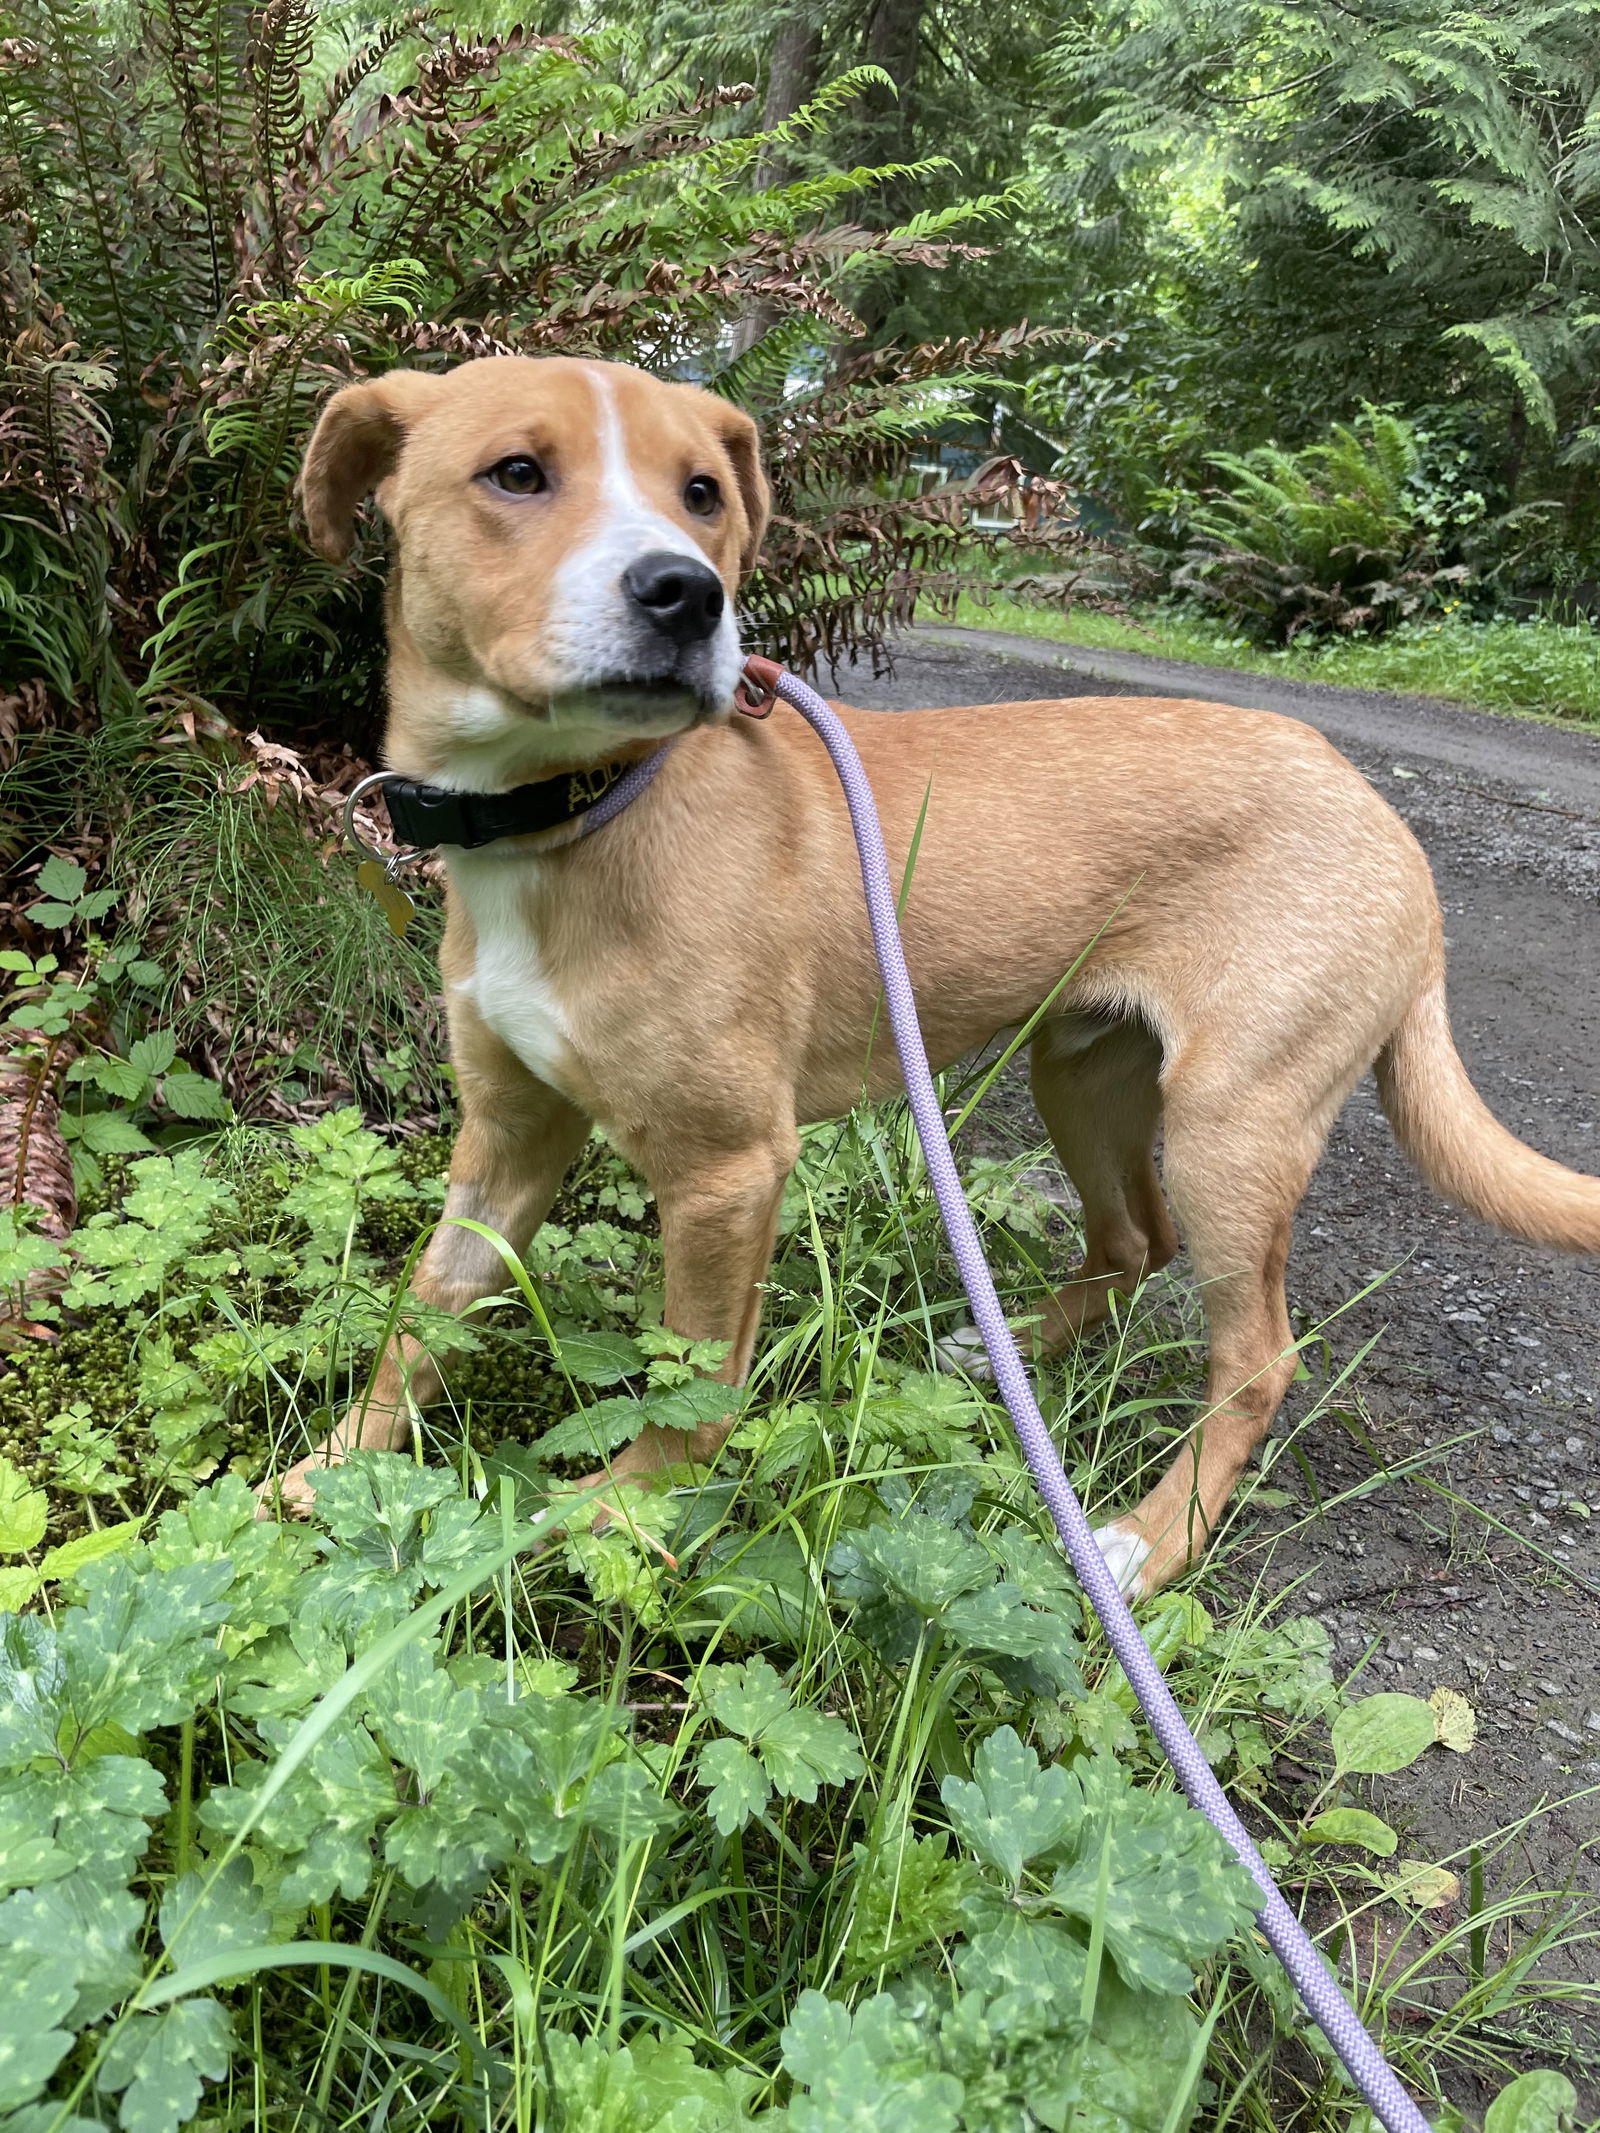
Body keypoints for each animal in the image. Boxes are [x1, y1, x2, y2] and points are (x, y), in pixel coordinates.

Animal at [275, 354, 1600, 1586]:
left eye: (702, 494)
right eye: (515, 473)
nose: (688, 595)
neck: (576, 812)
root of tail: (1378, 812)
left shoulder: (725, 1172)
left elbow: (693, 1385)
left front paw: (621, 1512)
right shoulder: (504, 1143)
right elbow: (415, 1322)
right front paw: (326, 1474)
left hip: (1233, 1128)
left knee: (1256, 1361)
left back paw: (1149, 1541)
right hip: (1087, 1077)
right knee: (1134, 1239)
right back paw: (1011, 1351)